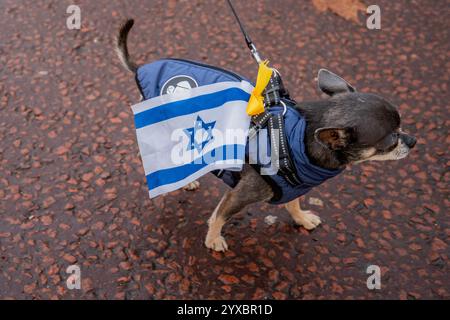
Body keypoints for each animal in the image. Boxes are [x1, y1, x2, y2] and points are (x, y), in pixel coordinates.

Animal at [114, 19, 416, 252]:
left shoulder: (294, 185)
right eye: (390, 141)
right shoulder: (240, 194)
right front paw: (213, 240)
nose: (413, 141)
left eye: (402, 126)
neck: (297, 138)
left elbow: (293, 203)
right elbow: (219, 217)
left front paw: (301, 219)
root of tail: (140, 68)